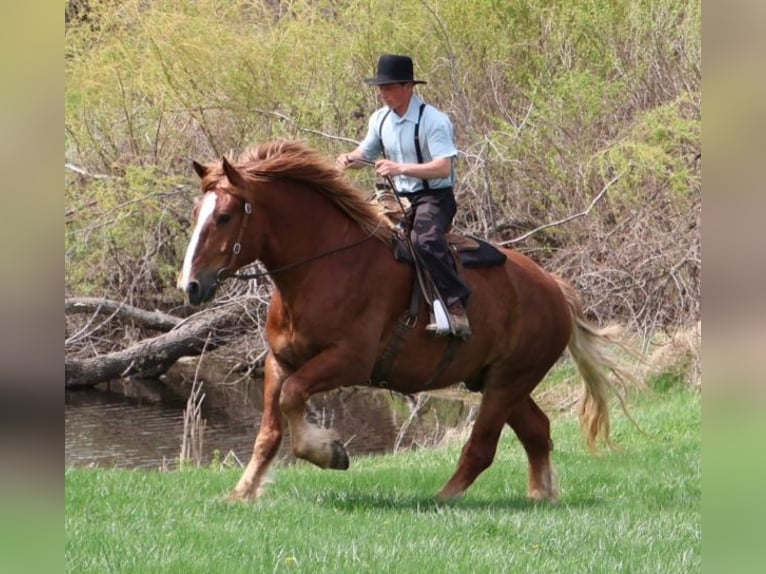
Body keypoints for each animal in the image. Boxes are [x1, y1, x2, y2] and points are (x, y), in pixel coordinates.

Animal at [178, 139, 638, 502]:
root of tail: (554, 288)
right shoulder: (280, 361)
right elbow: (269, 432)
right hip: (497, 380)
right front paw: (243, 492)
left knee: (482, 446)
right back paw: (540, 494)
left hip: (508, 382)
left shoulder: (348, 362)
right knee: (536, 431)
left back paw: (444, 497)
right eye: (196, 213)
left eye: (224, 216)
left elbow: (293, 399)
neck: (321, 269)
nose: (191, 285)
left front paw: (328, 451)